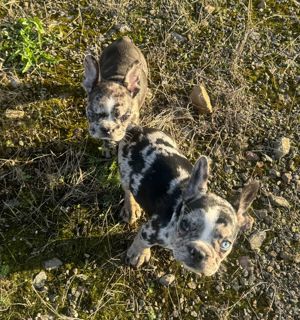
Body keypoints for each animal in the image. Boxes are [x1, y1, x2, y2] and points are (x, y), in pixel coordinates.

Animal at [118, 126, 258, 276]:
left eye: (225, 244)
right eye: (185, 224)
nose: (198, 252)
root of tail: (137, 128)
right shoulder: (149, 231)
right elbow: (142, 242)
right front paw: (138, 254)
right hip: (125, 172)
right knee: (127, 190)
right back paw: (131, 208)